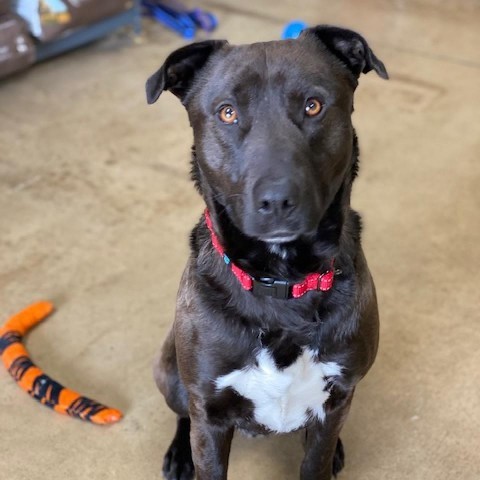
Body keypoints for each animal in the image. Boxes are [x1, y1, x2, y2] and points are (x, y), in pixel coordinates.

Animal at [146, 24, 386, 478]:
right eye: (227, 112)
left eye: (313, 106)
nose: (277, 200)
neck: (282, 282)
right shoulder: (209, 414)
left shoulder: (337, 399)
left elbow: (316, 461)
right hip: (170, 372)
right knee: (182, 412)